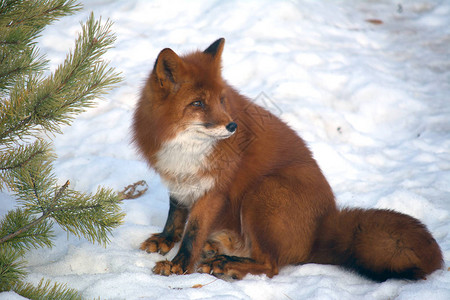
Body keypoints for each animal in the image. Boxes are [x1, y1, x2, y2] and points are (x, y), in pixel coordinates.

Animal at [134, 38, 442, 282]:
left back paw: (227, 264)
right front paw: (165, 239)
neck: (185, 147)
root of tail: (322, 227)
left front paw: (179, 266)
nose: (232, 126)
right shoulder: (179, 179)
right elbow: (176, 216)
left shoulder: (214, 190)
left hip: (263, 192)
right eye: (197, 103)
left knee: (271, 265)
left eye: (221, 100)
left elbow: (193, 233)